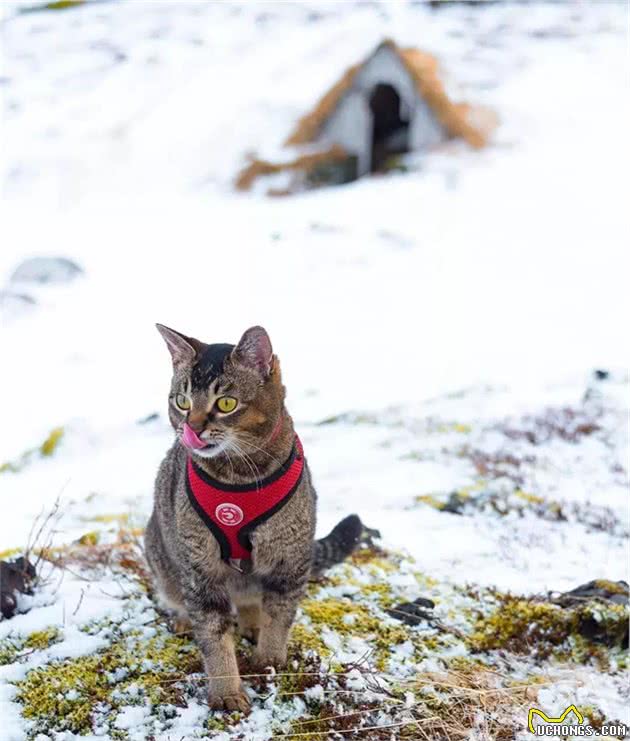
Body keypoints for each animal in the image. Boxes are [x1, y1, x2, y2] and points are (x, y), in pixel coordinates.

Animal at [148, 324, 362, 712]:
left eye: (226, 403)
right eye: (182, 401)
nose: (193, 428)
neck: (239, 477)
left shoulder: (290, 561)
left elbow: (279, 617)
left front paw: (268, 661)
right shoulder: (200, 570)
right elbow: (214, 635)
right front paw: (226, 691)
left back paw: (252, 623)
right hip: (165, 559)